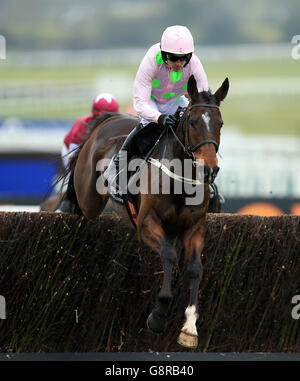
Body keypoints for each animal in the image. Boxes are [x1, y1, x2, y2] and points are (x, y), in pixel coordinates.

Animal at [65, 74, 227, 348]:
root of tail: (107, 120)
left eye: (220, 123)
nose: (209, 170)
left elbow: (195, 268)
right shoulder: (146, 224)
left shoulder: (195, 228)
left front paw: (190, 329)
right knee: (79, 205)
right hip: (89, 199)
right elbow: (169, 255)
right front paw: (159, 315)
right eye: (192, 121)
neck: (180, 180)